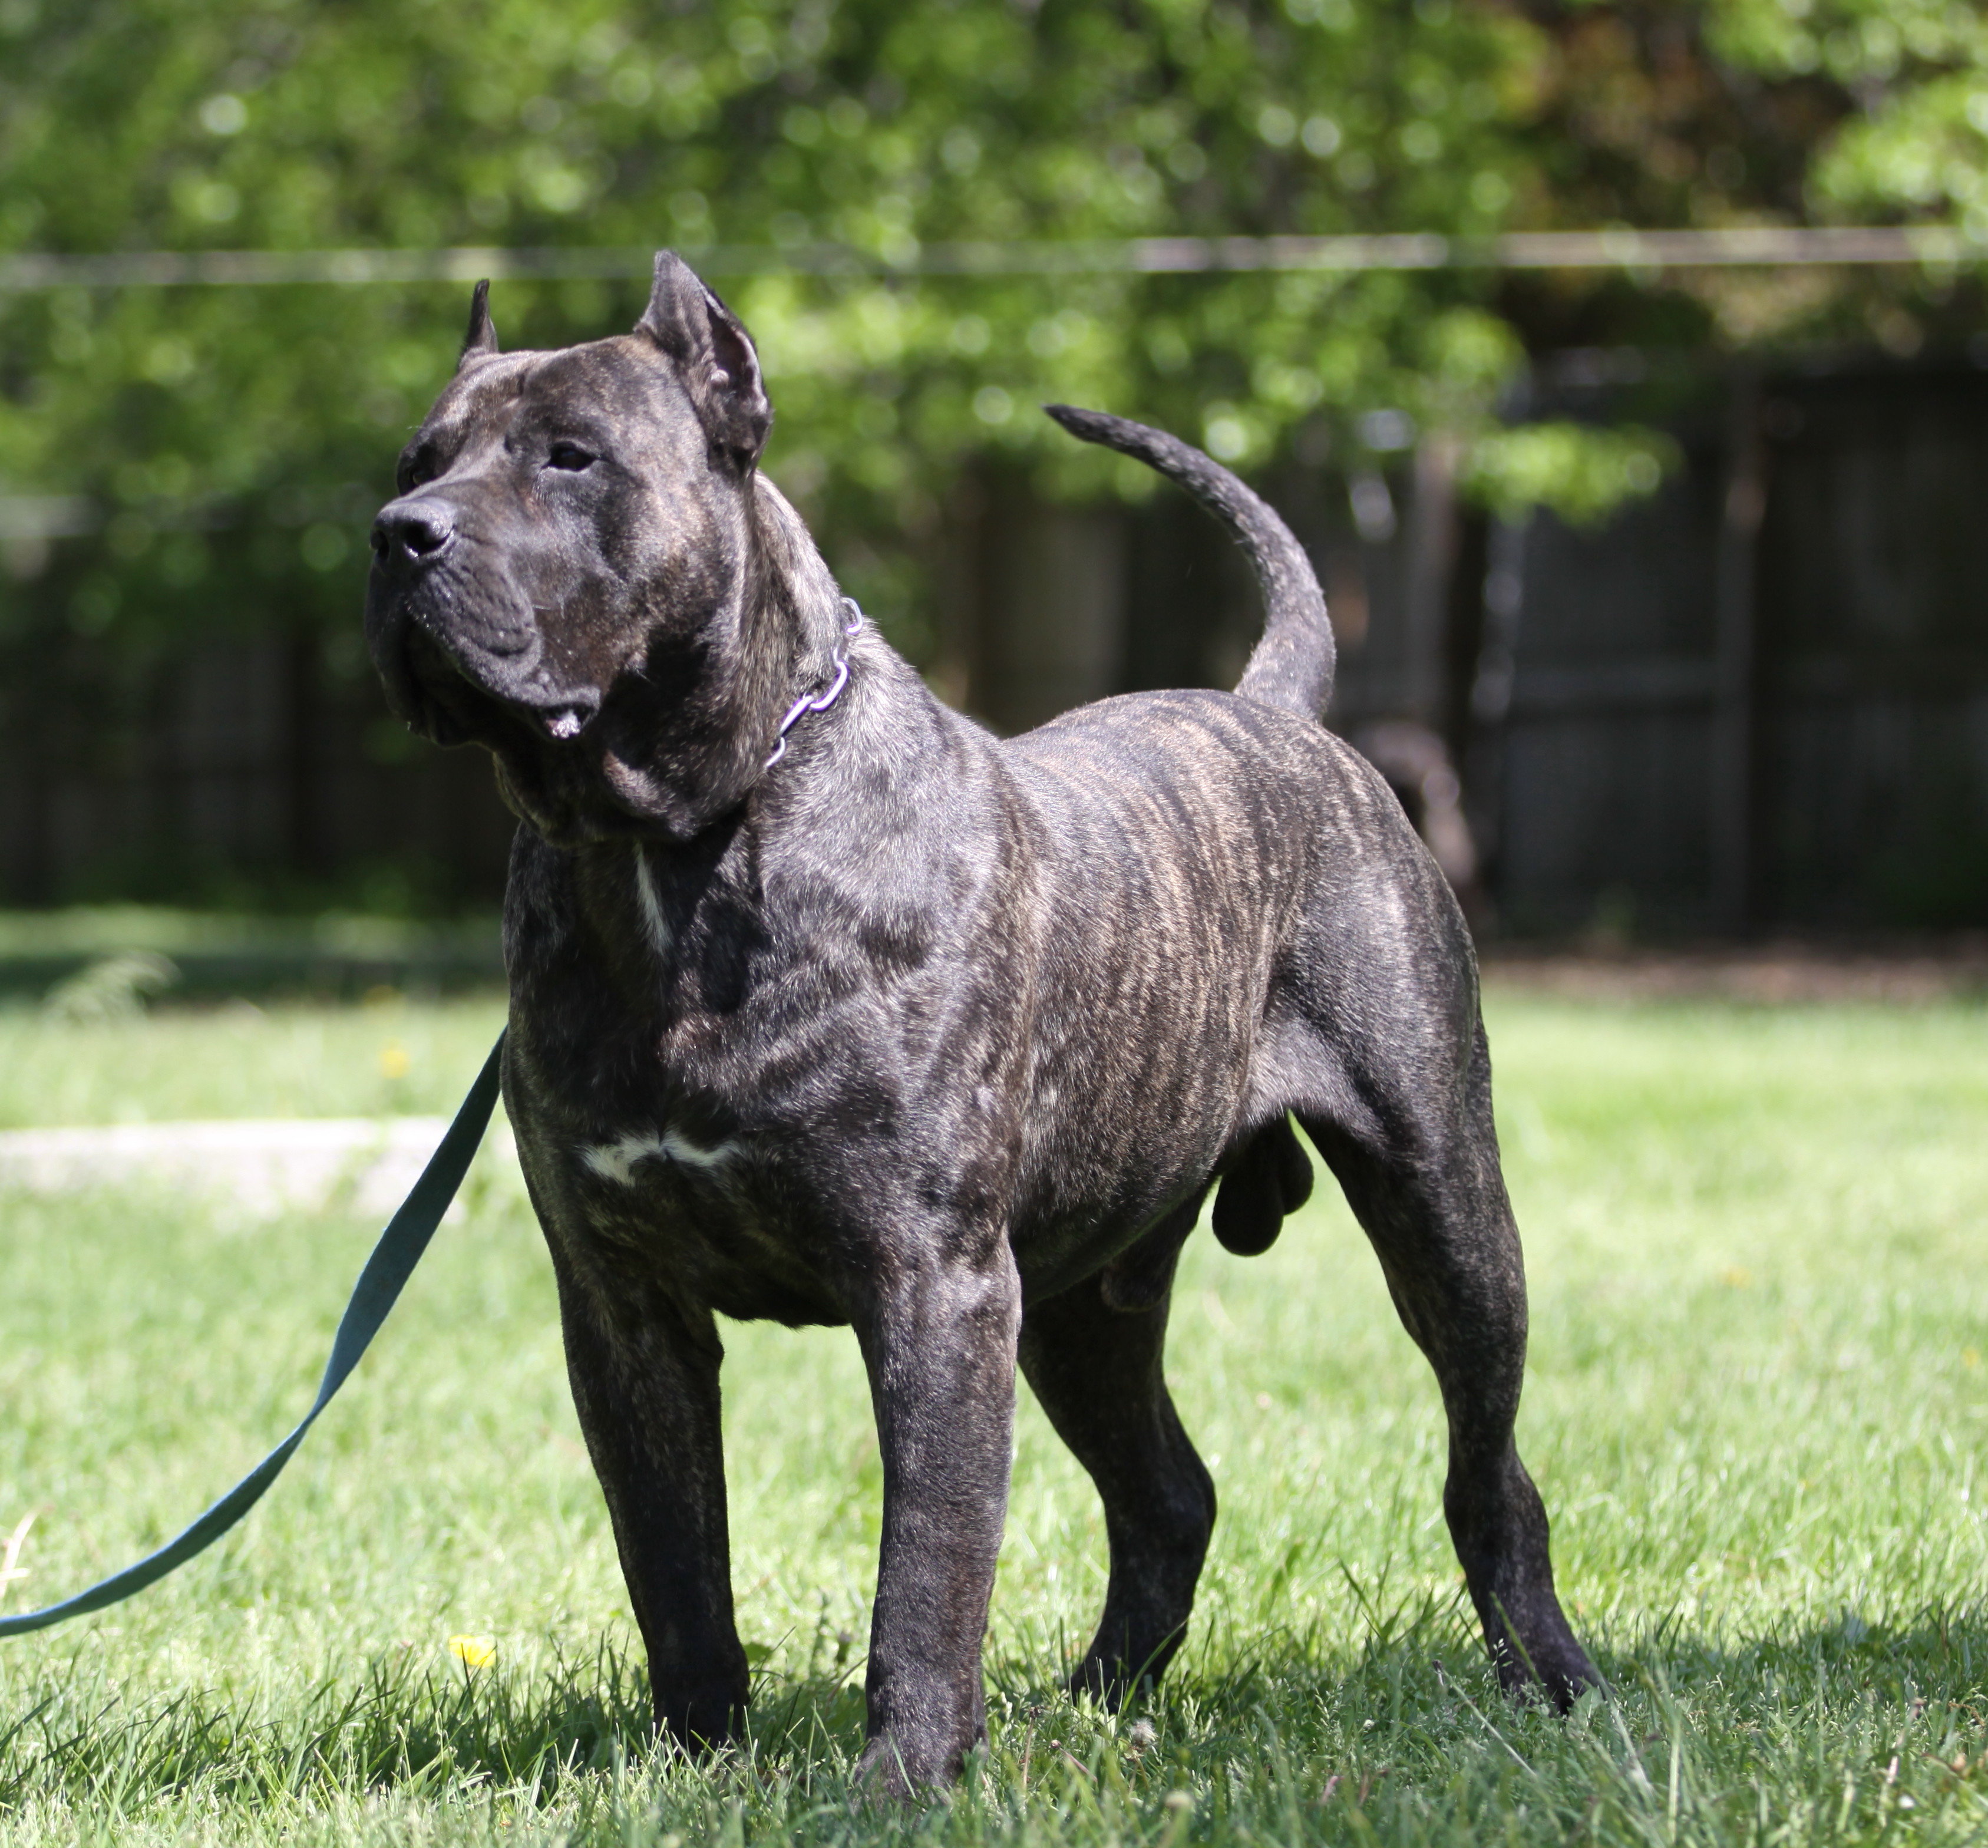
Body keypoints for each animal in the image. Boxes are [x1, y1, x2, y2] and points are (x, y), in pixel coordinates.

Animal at [362, 252, 1598, 1782]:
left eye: (571, 457)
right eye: (417, 461)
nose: (398, 537)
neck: (675, 845)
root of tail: (1276, 706)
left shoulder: (934, 1284)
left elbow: (929, 1564)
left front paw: (902, 1778)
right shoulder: (623, 1305)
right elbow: (676, 1562)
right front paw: (699, 1758)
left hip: (1441, 1206)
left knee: (1489, 1469)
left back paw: (1551, 1679)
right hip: (1085, 1296)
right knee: (1170, 1493)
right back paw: (1098, 1705)